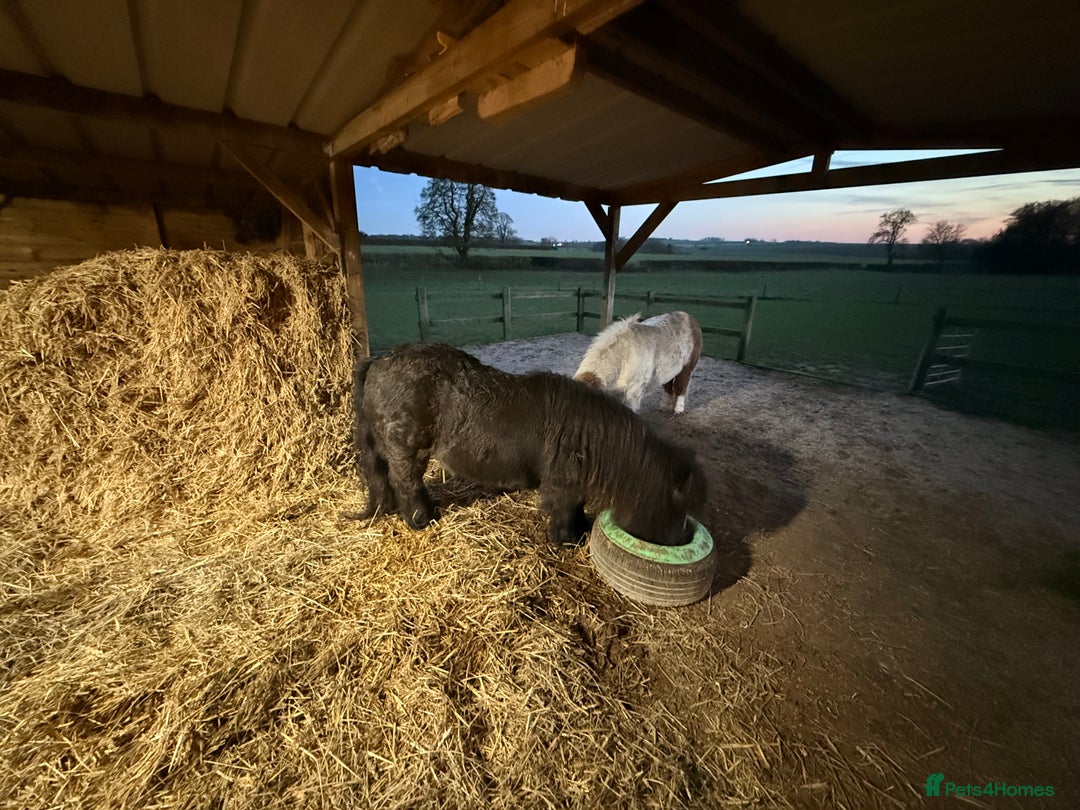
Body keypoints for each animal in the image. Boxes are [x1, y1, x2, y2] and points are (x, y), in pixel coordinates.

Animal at [350, 343, 706, 546]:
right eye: (677, 504)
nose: (680, 540)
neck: (595, 437)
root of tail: (377, 362)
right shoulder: (562, 485)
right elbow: (563, 513)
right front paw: (568, 542)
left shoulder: (575, 485)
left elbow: (577, 509)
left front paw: (581, 532)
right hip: (406, 450)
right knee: (406, 483)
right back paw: (420, 520)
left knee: (384, 480)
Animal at [574, 311, 703, 414]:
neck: (622, 358)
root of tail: (691, 319)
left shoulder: (634, 389)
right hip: (669, 371)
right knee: (668, 386)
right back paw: (665, 407)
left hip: (687, 367)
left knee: (682, 386)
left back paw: (678, 410)